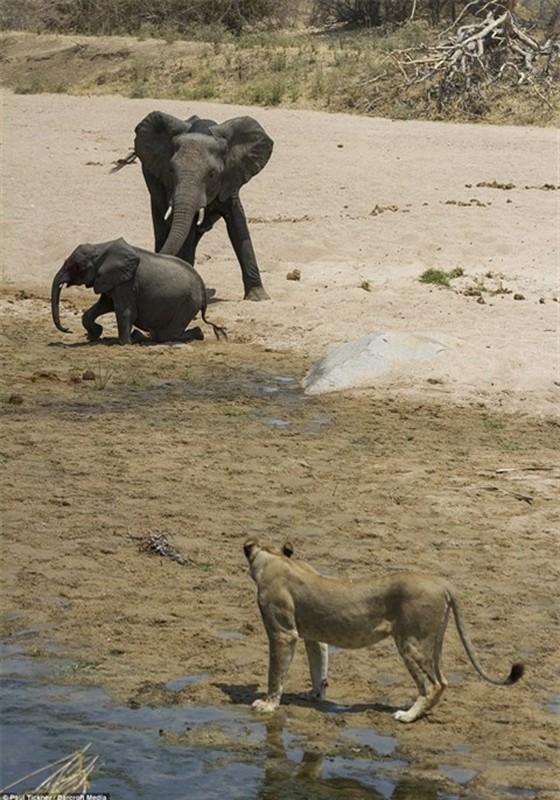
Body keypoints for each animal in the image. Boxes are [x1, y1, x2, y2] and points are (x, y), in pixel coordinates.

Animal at [50, 238, 225, 344]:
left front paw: (124, 343)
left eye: (75, 267)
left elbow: (124, 311)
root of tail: (203, 288)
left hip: (188, 303)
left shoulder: (126, 283)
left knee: (166, 335)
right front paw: (94, 336)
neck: (100, 248)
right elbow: (105, 304)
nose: (68, 329)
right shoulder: (111, 281)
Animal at [114, 111, 274, 302]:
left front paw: (259, 297)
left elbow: (237, 223)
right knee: (162, 224)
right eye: (171, 170)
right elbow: (187, 230)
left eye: (212, 174)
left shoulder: (231, 177)